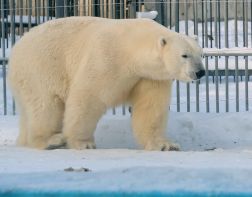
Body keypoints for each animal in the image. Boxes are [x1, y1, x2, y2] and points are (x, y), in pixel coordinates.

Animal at [8, 16, 205, 151]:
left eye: (200, 54)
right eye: (185, 55)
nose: (200, 72)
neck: (130, 47)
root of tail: (17, 47)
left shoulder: (150, 76)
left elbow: (151, 108)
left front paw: (165, 145)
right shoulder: (106, 59)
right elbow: (87, 98)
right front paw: (83, 143)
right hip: (40, 68)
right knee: (46, 105)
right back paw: (51, 140)